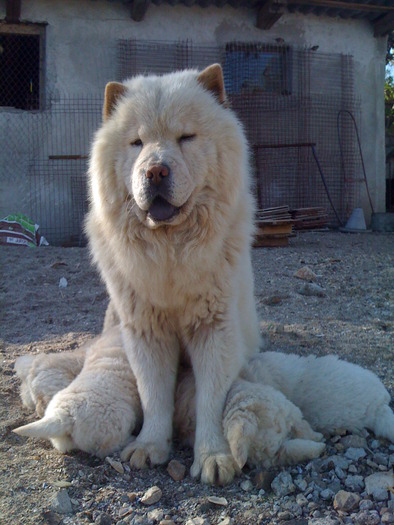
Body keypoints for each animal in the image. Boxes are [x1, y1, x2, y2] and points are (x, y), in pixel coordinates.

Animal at [84, 62, 260, 484]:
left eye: (186, 137)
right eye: (137, 142)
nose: (156, 171)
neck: (169, 254)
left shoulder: (214, 328)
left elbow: (209, 399)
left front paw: (213, 456)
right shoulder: (146, 332)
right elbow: (153, 395)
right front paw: (149, 446)